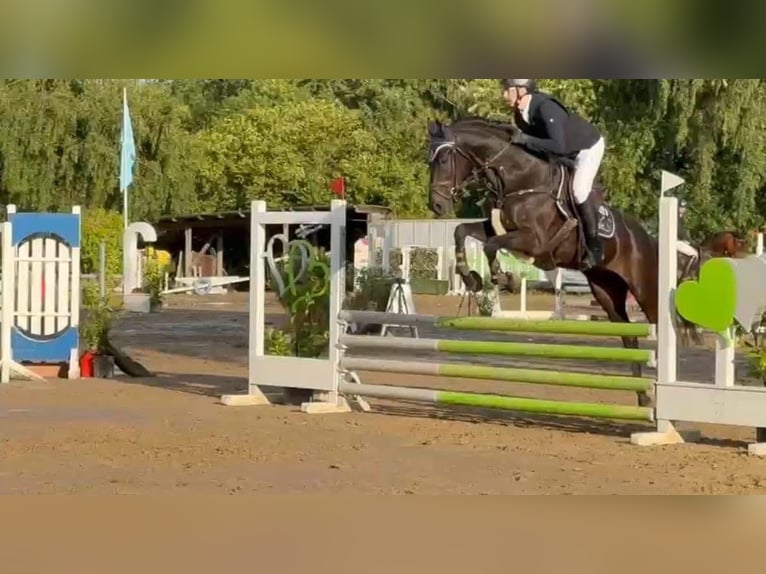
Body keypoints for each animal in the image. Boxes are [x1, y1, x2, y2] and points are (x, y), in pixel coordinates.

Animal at [427, 116, 698, 409]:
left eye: (444, 160)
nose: (437, 206)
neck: (520, 179)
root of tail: (648, 238)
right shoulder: (496, 228)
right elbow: (461, 232)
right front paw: (471, 278)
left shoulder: (533, 240)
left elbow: (490, 246)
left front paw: (504, 279)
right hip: (606, 291)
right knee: (629, 337)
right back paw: (644, 396)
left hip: (646, 289)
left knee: (661, 322)